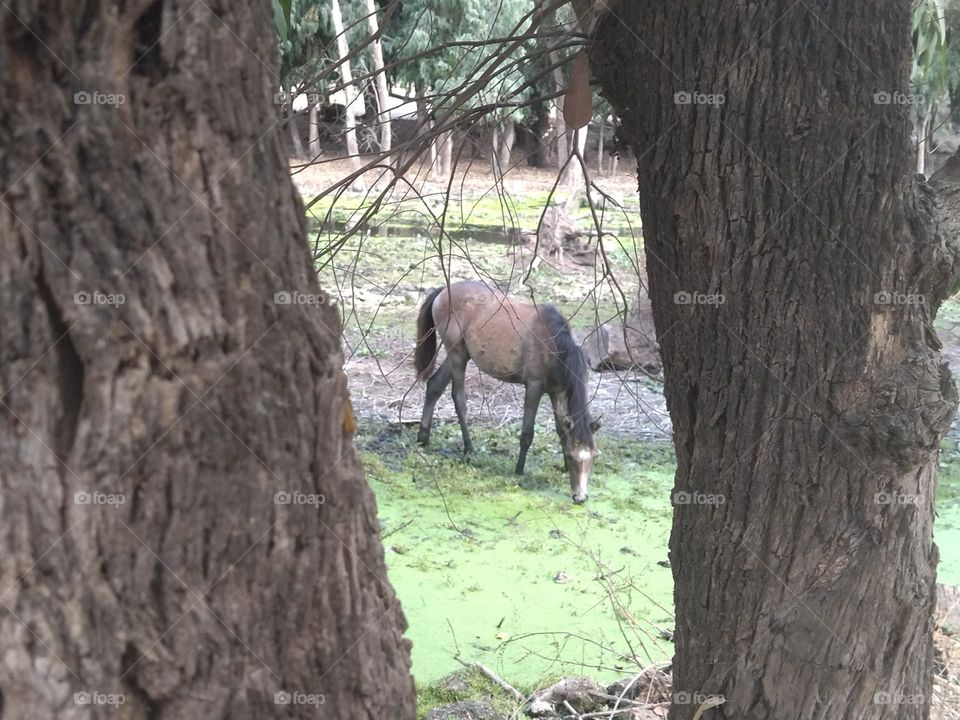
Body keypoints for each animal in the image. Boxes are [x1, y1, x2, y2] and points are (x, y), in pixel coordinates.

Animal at [414, 280, 600, 503]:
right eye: (573, 456)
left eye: (593, 455)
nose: (580, 497)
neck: (553, 345)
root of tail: (443, 290)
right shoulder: (534, 387)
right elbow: (527, 433)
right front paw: (519, 470)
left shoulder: (557, 391)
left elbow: (561, 429)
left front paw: (563, 467)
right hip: (456, 353)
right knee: (458, 399)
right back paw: (469, 449)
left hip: (461, 354)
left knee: (434, 385)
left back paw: (423, 436)